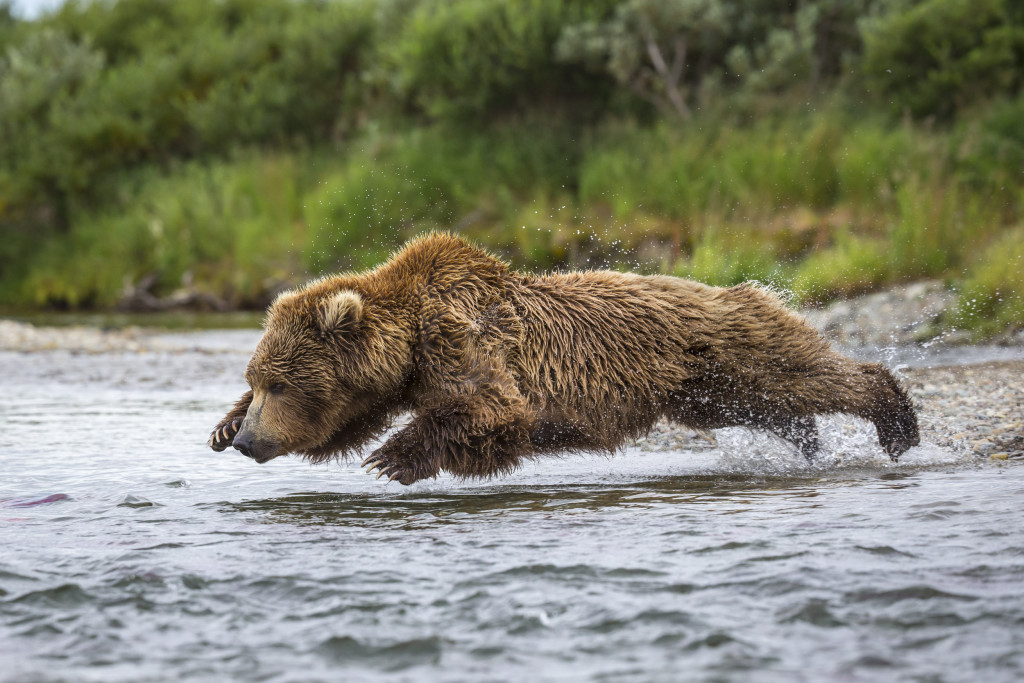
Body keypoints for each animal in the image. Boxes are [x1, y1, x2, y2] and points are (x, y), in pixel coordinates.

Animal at [207, 232, 921, 483]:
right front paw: (219, 424)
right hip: (703, 385)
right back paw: (807, 441)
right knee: (766, 405)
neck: (409, 342)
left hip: (731, 344)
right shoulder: (389, 382)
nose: (247, 441)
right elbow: (346, 422)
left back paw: (896, 423)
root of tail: (751, 287)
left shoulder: (463, 338)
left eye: (279, 382)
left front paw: (394, 458)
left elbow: (494, 407)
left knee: (808, 375)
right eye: (257, 378)